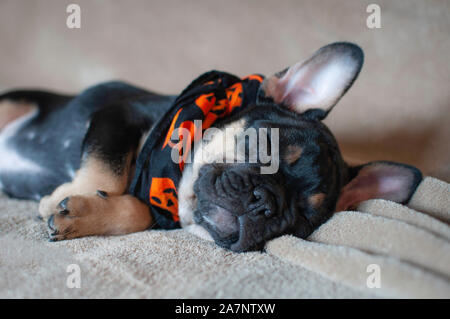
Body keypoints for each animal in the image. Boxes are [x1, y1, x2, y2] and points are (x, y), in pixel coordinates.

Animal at [0, 42, 422, 252]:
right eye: (263, 147)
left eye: (304, 219)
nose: (265, 202)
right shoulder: (118, 114)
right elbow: (109, 168)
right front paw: (72, 196)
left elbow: (137, 211)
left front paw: (83, 212)